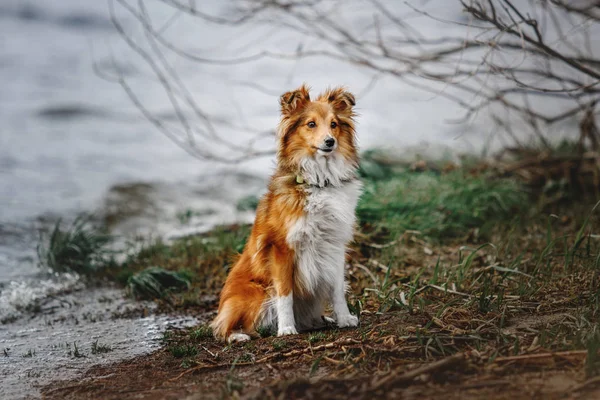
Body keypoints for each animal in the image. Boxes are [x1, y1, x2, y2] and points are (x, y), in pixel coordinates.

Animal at [211, 83, 360, 342]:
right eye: (311, 124)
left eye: (334, 124)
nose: (330, 142)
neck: (319, 182)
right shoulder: (281, 249)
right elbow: (284, 294)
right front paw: (287, 328)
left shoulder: (334, 244)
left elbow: (337, 288)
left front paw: (344, 318)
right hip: (254, 293)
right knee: (222, 326)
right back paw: (239, 336)